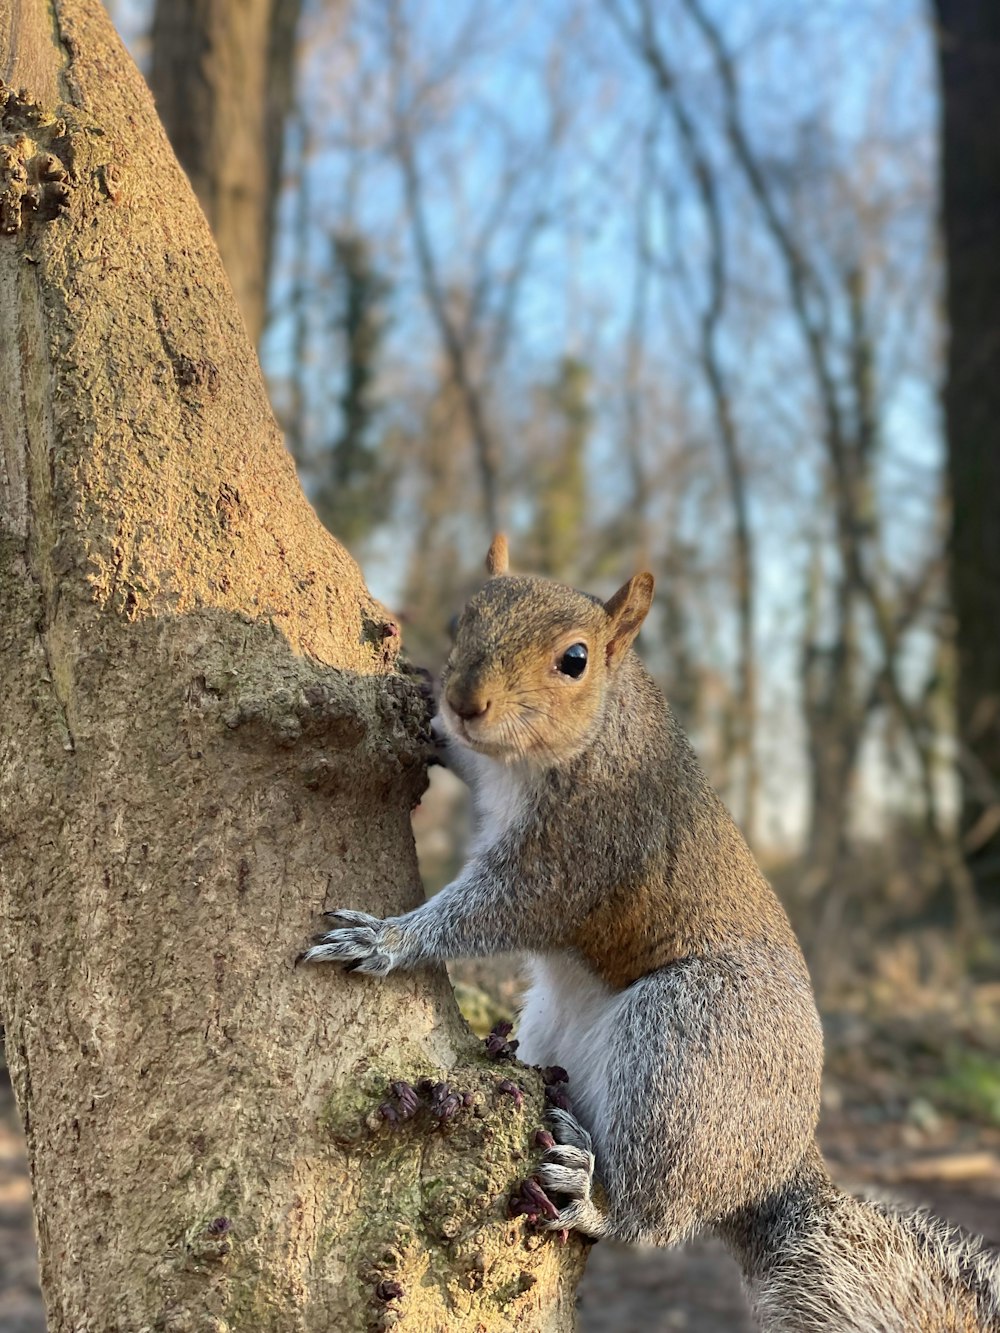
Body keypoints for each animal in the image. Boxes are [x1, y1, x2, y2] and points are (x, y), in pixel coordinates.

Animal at [305, 533, 1000, 1333]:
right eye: (460, 620)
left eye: (574, 659)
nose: (465, 702)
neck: (560, 746)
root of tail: (777, 1163)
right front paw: (419, 692)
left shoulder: (583, 852)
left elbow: (493, 911)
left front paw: (388, 940)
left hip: (688, 1049)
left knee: (655, 1214)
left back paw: (595, 1199)